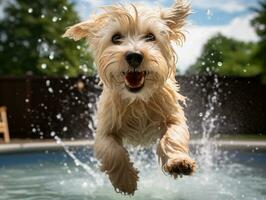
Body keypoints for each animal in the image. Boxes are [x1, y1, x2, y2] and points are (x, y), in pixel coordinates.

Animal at [62, 0, 195, 195]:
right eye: (116, 37)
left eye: (150, 36)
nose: (134, 56)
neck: (137, 100)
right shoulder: (105, 130)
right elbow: (113, 152)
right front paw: (125, 181)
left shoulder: (173, 116)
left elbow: (173, 135)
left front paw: (178, 162)